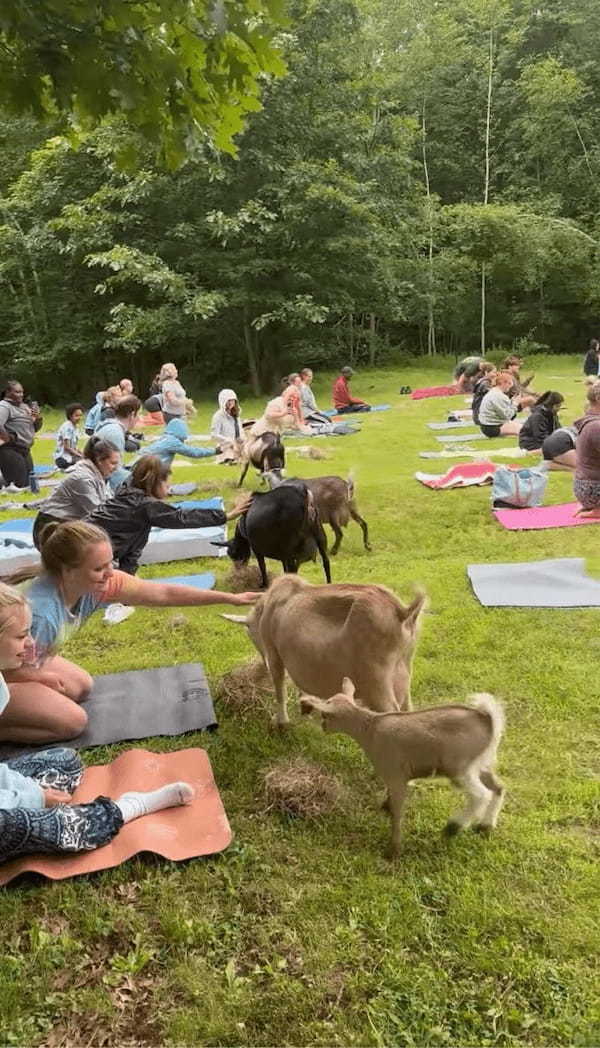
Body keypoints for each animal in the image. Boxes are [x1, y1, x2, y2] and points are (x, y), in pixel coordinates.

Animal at [299, 679, 504, 859]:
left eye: (325, 715)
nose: (323, 727)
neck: (370, 730)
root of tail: (488, 721)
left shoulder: (396, 775)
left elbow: (397, 814)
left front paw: (393, 851)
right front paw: (385, 807)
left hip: (459, 767)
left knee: (481, 794)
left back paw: (453, 827)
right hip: (482, 764)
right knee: (499, 788)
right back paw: (485, 826)